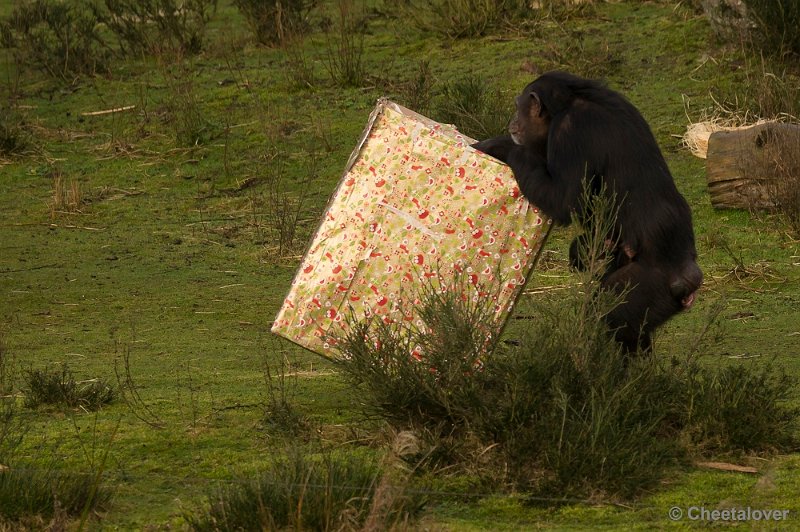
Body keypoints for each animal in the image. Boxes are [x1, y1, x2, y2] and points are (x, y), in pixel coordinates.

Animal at [472, 70, 704, 354]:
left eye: (518, 106)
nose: (513, 121)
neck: (568, 101)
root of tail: (689, 280)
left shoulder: (569, 131)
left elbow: (563, 199)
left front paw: (502, 146)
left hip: (648, 283)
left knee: (609, 317)